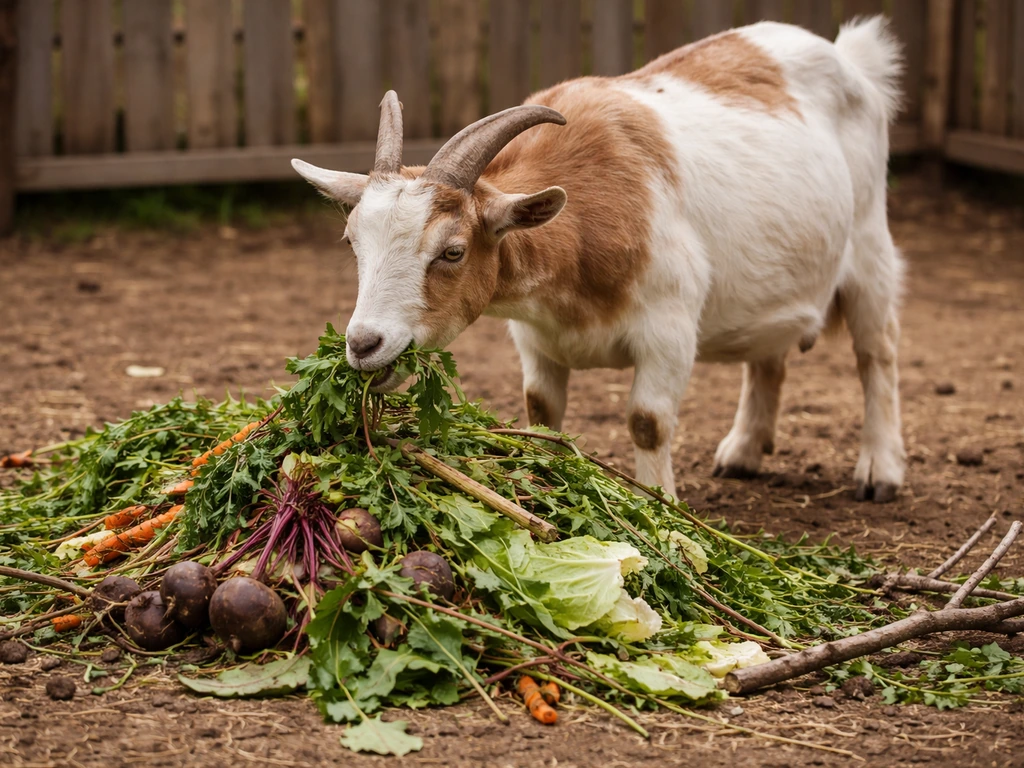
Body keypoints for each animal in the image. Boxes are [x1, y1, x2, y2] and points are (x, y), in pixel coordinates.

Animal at [292, 17, 906, 502]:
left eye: (452, 250)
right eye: (351, 242)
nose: (363, 344)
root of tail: (850, 57)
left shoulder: (669, 327)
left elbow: (647, 423)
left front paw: (663, 509)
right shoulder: (536, 340)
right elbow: (541, 412)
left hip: (870, 240)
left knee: (876, 349)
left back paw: (880, 471)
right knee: (770, 355)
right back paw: (743, 451)